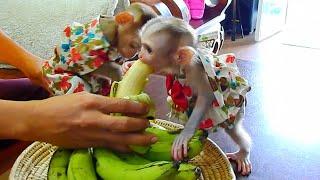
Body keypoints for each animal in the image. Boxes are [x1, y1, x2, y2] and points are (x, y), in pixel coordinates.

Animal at [0, 2, 158, 95]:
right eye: (134, 45)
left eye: (139, 49)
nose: (133, 54)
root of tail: (46, 66)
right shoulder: (91, 44)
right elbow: (86, 62)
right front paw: (119, 72)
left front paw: (125, 66)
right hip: (56, 78)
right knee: (75, 83)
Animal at [123, 16, 252, 175]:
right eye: (142, 46)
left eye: (149, 49)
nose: (140, 55)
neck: (181, 68)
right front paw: (127, 66)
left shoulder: (195, 70)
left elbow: (206, 95)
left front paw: (185, 134)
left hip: (235, 109)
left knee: (234, 130)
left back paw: (243, 154)